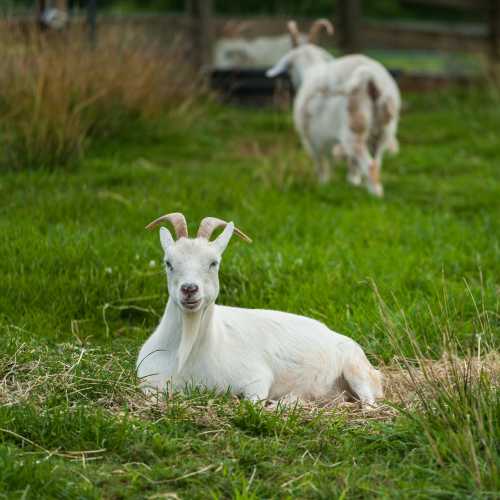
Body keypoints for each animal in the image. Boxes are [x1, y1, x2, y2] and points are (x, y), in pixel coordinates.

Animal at [137, 212, 382, 406]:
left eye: (213, 262)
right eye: (168, 263)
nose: (189, 289)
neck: (187, 356)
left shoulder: (256, 378)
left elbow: (253, 403)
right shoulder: (147, 380)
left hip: (356, 368)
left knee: (368, 404)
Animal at [268, 21, 400, 197]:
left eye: (289, 69)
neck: (310, 70)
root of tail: (369, 77)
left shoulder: (311, 139)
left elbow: (322, 165)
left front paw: (323, 186)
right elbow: (352, 167)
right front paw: (353, 183)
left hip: (353, 131)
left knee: (370, 165)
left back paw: (374, 195)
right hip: (384, 131)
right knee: (376, 162)